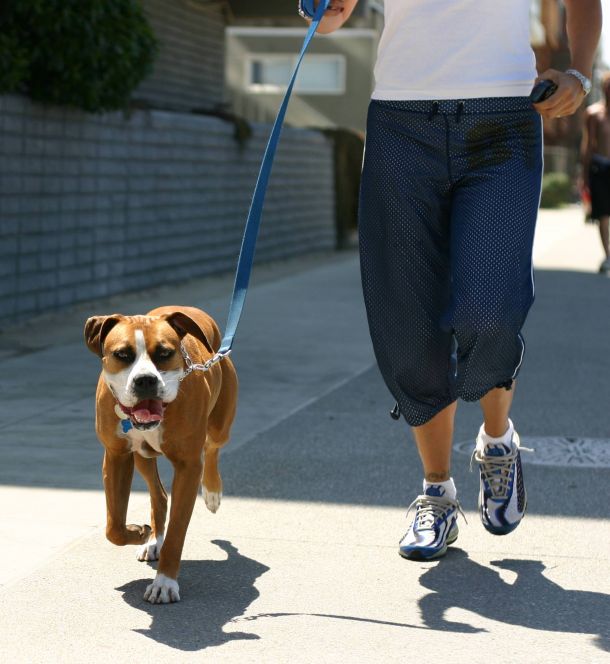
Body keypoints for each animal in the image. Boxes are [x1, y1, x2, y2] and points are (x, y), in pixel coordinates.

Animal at [84, 308, 236, 608]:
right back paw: (153, 539)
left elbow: (177, 532)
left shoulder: (189, 467)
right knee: (159, 495)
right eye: (122, 354)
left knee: (213, 448)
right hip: (142, 457)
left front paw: (164, 583)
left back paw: (212, 492)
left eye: (165, 353)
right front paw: (138, 532)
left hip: (220, 425)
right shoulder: (116, 457)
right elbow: (113, 527)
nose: (145, 380)